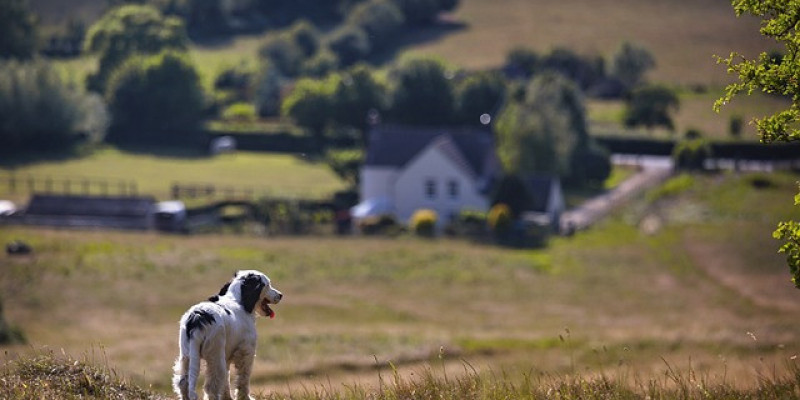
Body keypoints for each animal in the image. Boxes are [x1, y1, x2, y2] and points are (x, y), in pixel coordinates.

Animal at [172, 268, 282, 400]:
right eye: (267, 285)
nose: (281, 295)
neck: (238, 300)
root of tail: (197, 318)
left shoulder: (227, 356)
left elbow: (226, 380)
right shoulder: (246, 352)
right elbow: (243, 379)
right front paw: (245, 397)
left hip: (187, 354)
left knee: (183, 382)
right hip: (215, 356)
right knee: (211, 386)